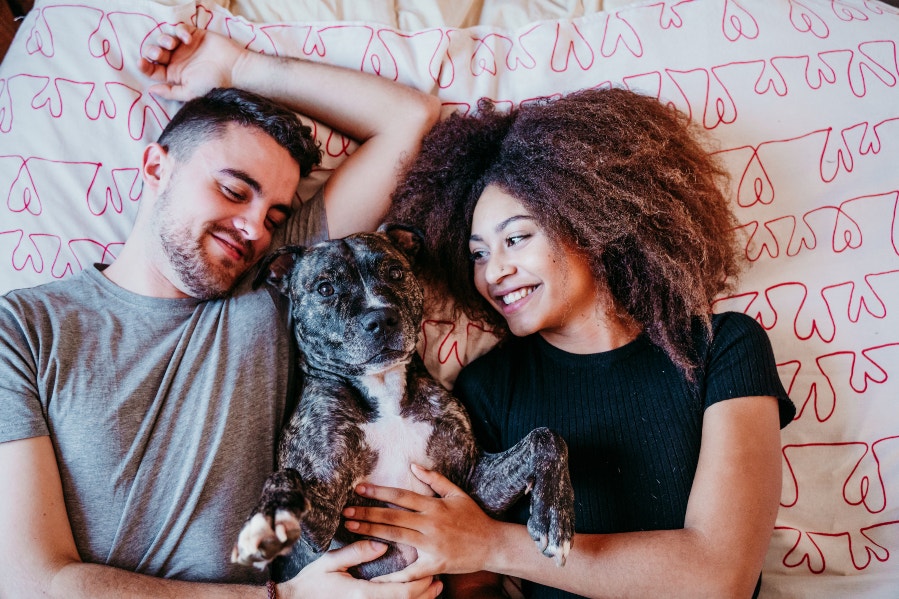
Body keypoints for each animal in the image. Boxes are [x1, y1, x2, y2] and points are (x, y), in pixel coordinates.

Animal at [229, 221, 572, 580]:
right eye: (325, 288)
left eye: (395, 272)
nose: (380, 318)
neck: (385, 392)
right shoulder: (326, 522)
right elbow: (285, 476)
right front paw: (267, 516)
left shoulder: (470, 487)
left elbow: (546, 437)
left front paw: (553, 516)